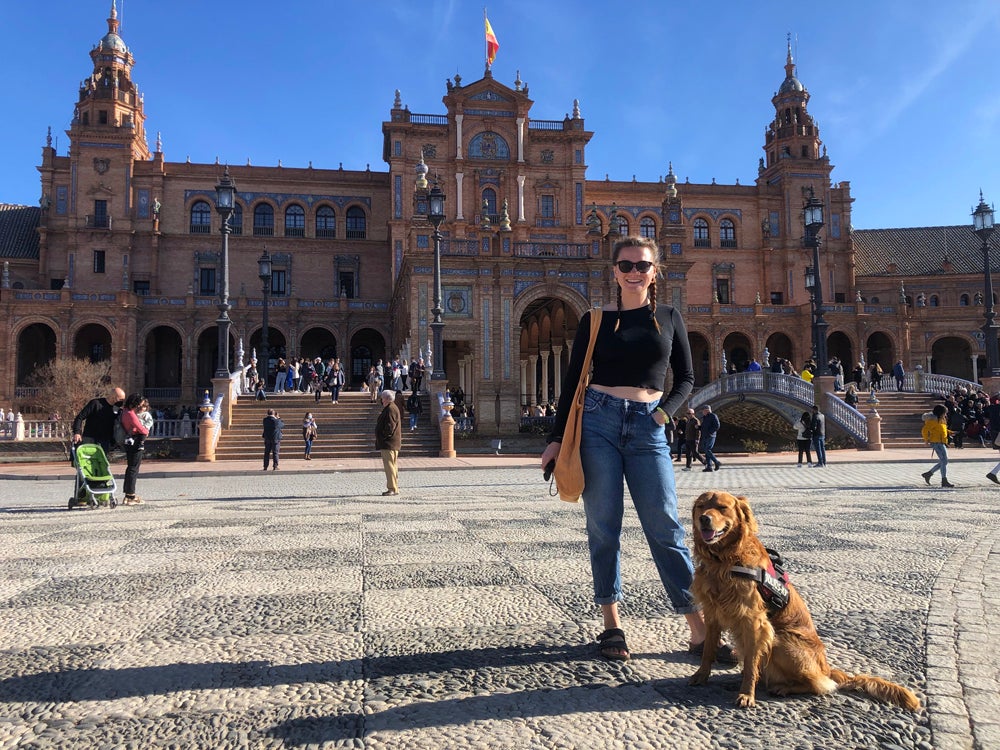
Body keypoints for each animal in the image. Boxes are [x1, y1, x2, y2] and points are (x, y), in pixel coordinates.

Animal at [692, 490, 916, 712]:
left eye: (722, 507)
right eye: (701, 506)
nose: (704, 519)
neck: (723, 561)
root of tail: (827, 668)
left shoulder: (755, 622)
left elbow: (750, 665)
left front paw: (747, 694)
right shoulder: (712, 614)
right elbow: (708, 651)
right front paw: (700, 677)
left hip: (781, 640)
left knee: (819, 684)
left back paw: (783, 687)